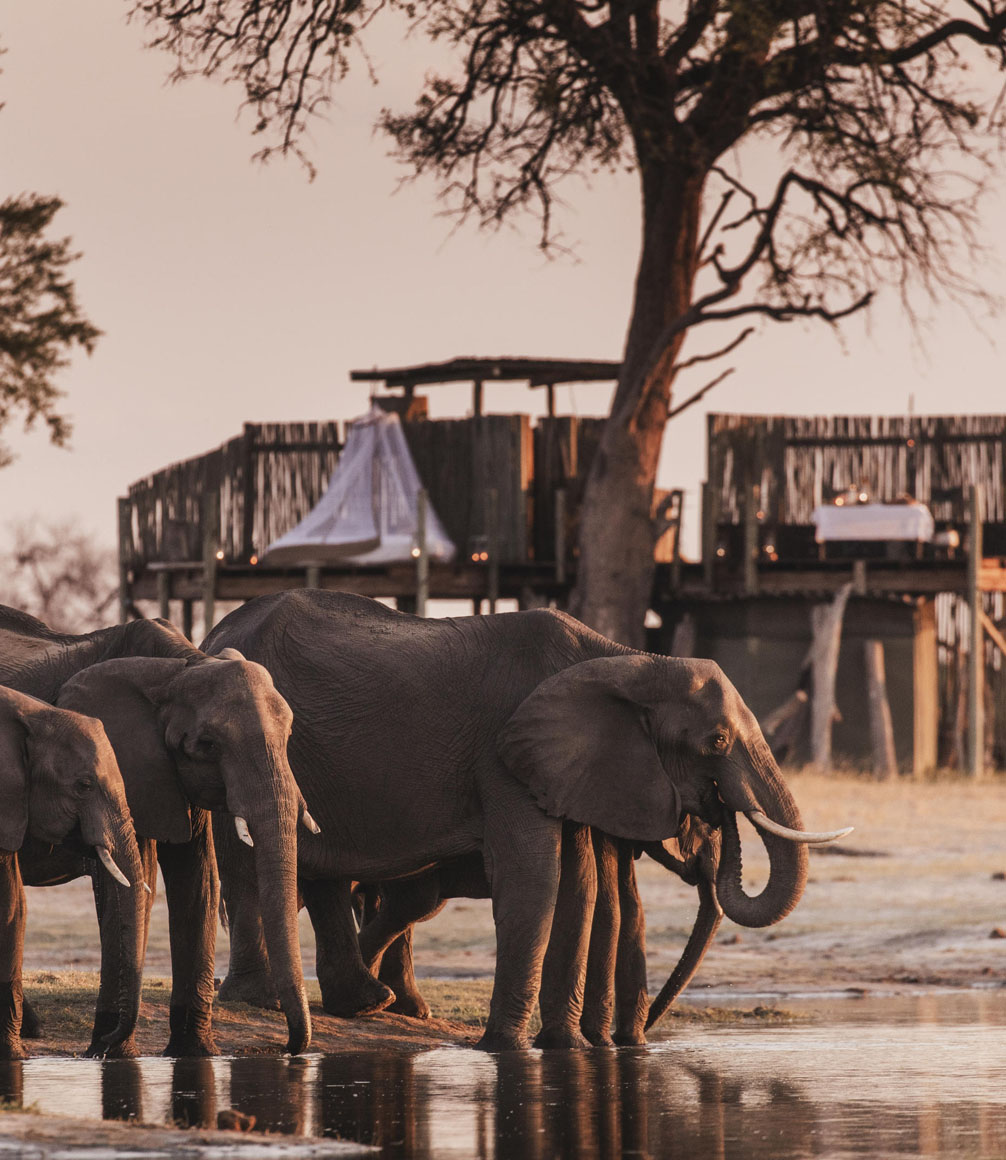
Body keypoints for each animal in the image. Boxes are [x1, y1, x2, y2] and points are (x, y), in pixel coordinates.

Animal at [0, 686, 144, 1062]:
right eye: (84, 785)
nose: (102, 1045)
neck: (33, 715)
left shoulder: (10, 808)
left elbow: (12, 908)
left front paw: (13, 1054)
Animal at [204, 589, 849, 1053]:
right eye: (715, 741)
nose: (719, 812)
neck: (628, 662)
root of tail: (213, 633)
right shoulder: (504, 751)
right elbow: (536, 876)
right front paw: (504, 1049)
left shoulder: (570, 763)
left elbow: (581, 886)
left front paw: (566, 1048)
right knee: (253, 866)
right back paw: (269, 1001)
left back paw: (364, 1002)